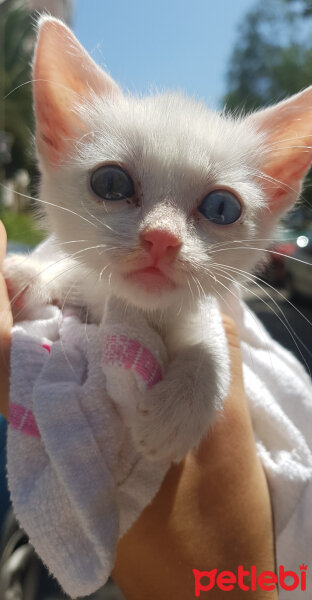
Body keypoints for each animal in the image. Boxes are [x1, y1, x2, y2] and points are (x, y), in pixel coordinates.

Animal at [4, 16, 312, 462]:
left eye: (222, 207)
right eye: (111, 183)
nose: (162, 237)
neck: (145, 314)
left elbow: (210, 341)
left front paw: (183, 404)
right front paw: (27, 276)